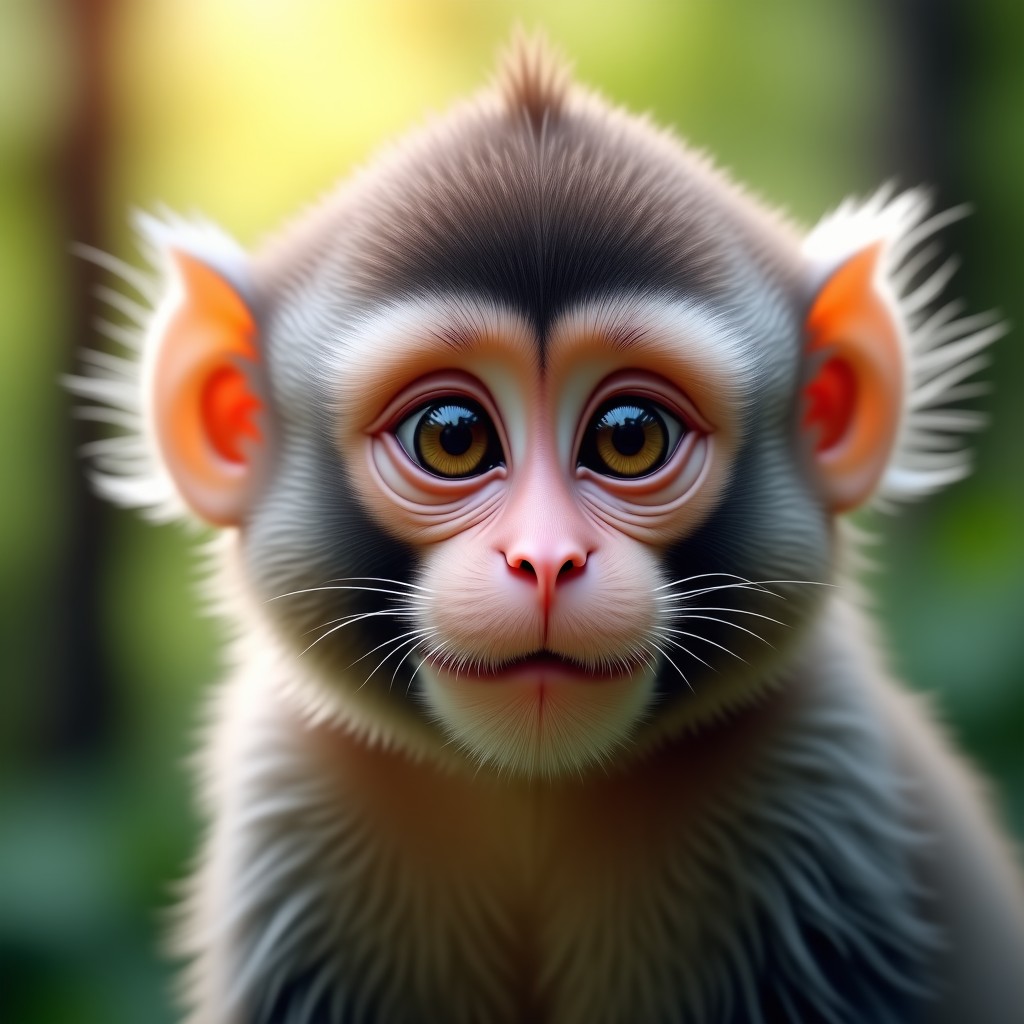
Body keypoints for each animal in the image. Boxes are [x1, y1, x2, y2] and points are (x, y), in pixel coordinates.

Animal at [69, 37, 1024, 1024]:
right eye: (452, 437)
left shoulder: (819, 802)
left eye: (629, 437)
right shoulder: (294, 805)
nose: (546, 560)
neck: (532, 796)